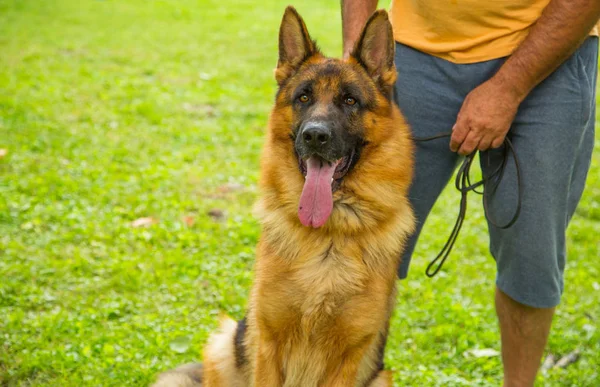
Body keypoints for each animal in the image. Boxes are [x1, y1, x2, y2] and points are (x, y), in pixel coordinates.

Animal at [155, 6, 414, 387]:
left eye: (350, 100)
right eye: (303, 97)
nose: (315, 136)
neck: (328, 238)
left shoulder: (347, 358)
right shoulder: (269, 343)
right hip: (224, 345)